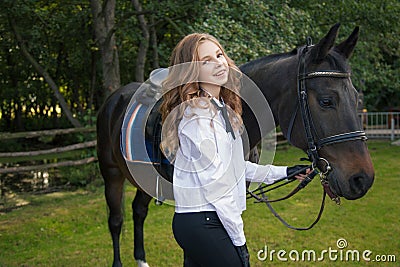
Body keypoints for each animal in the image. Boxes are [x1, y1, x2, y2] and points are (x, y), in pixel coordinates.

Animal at [97, 24, 376, 266]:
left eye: (356, 98)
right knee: (116, 221)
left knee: (138, 211)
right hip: (112, 175)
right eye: (327, 101)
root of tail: (113, 99)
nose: (362, 179)